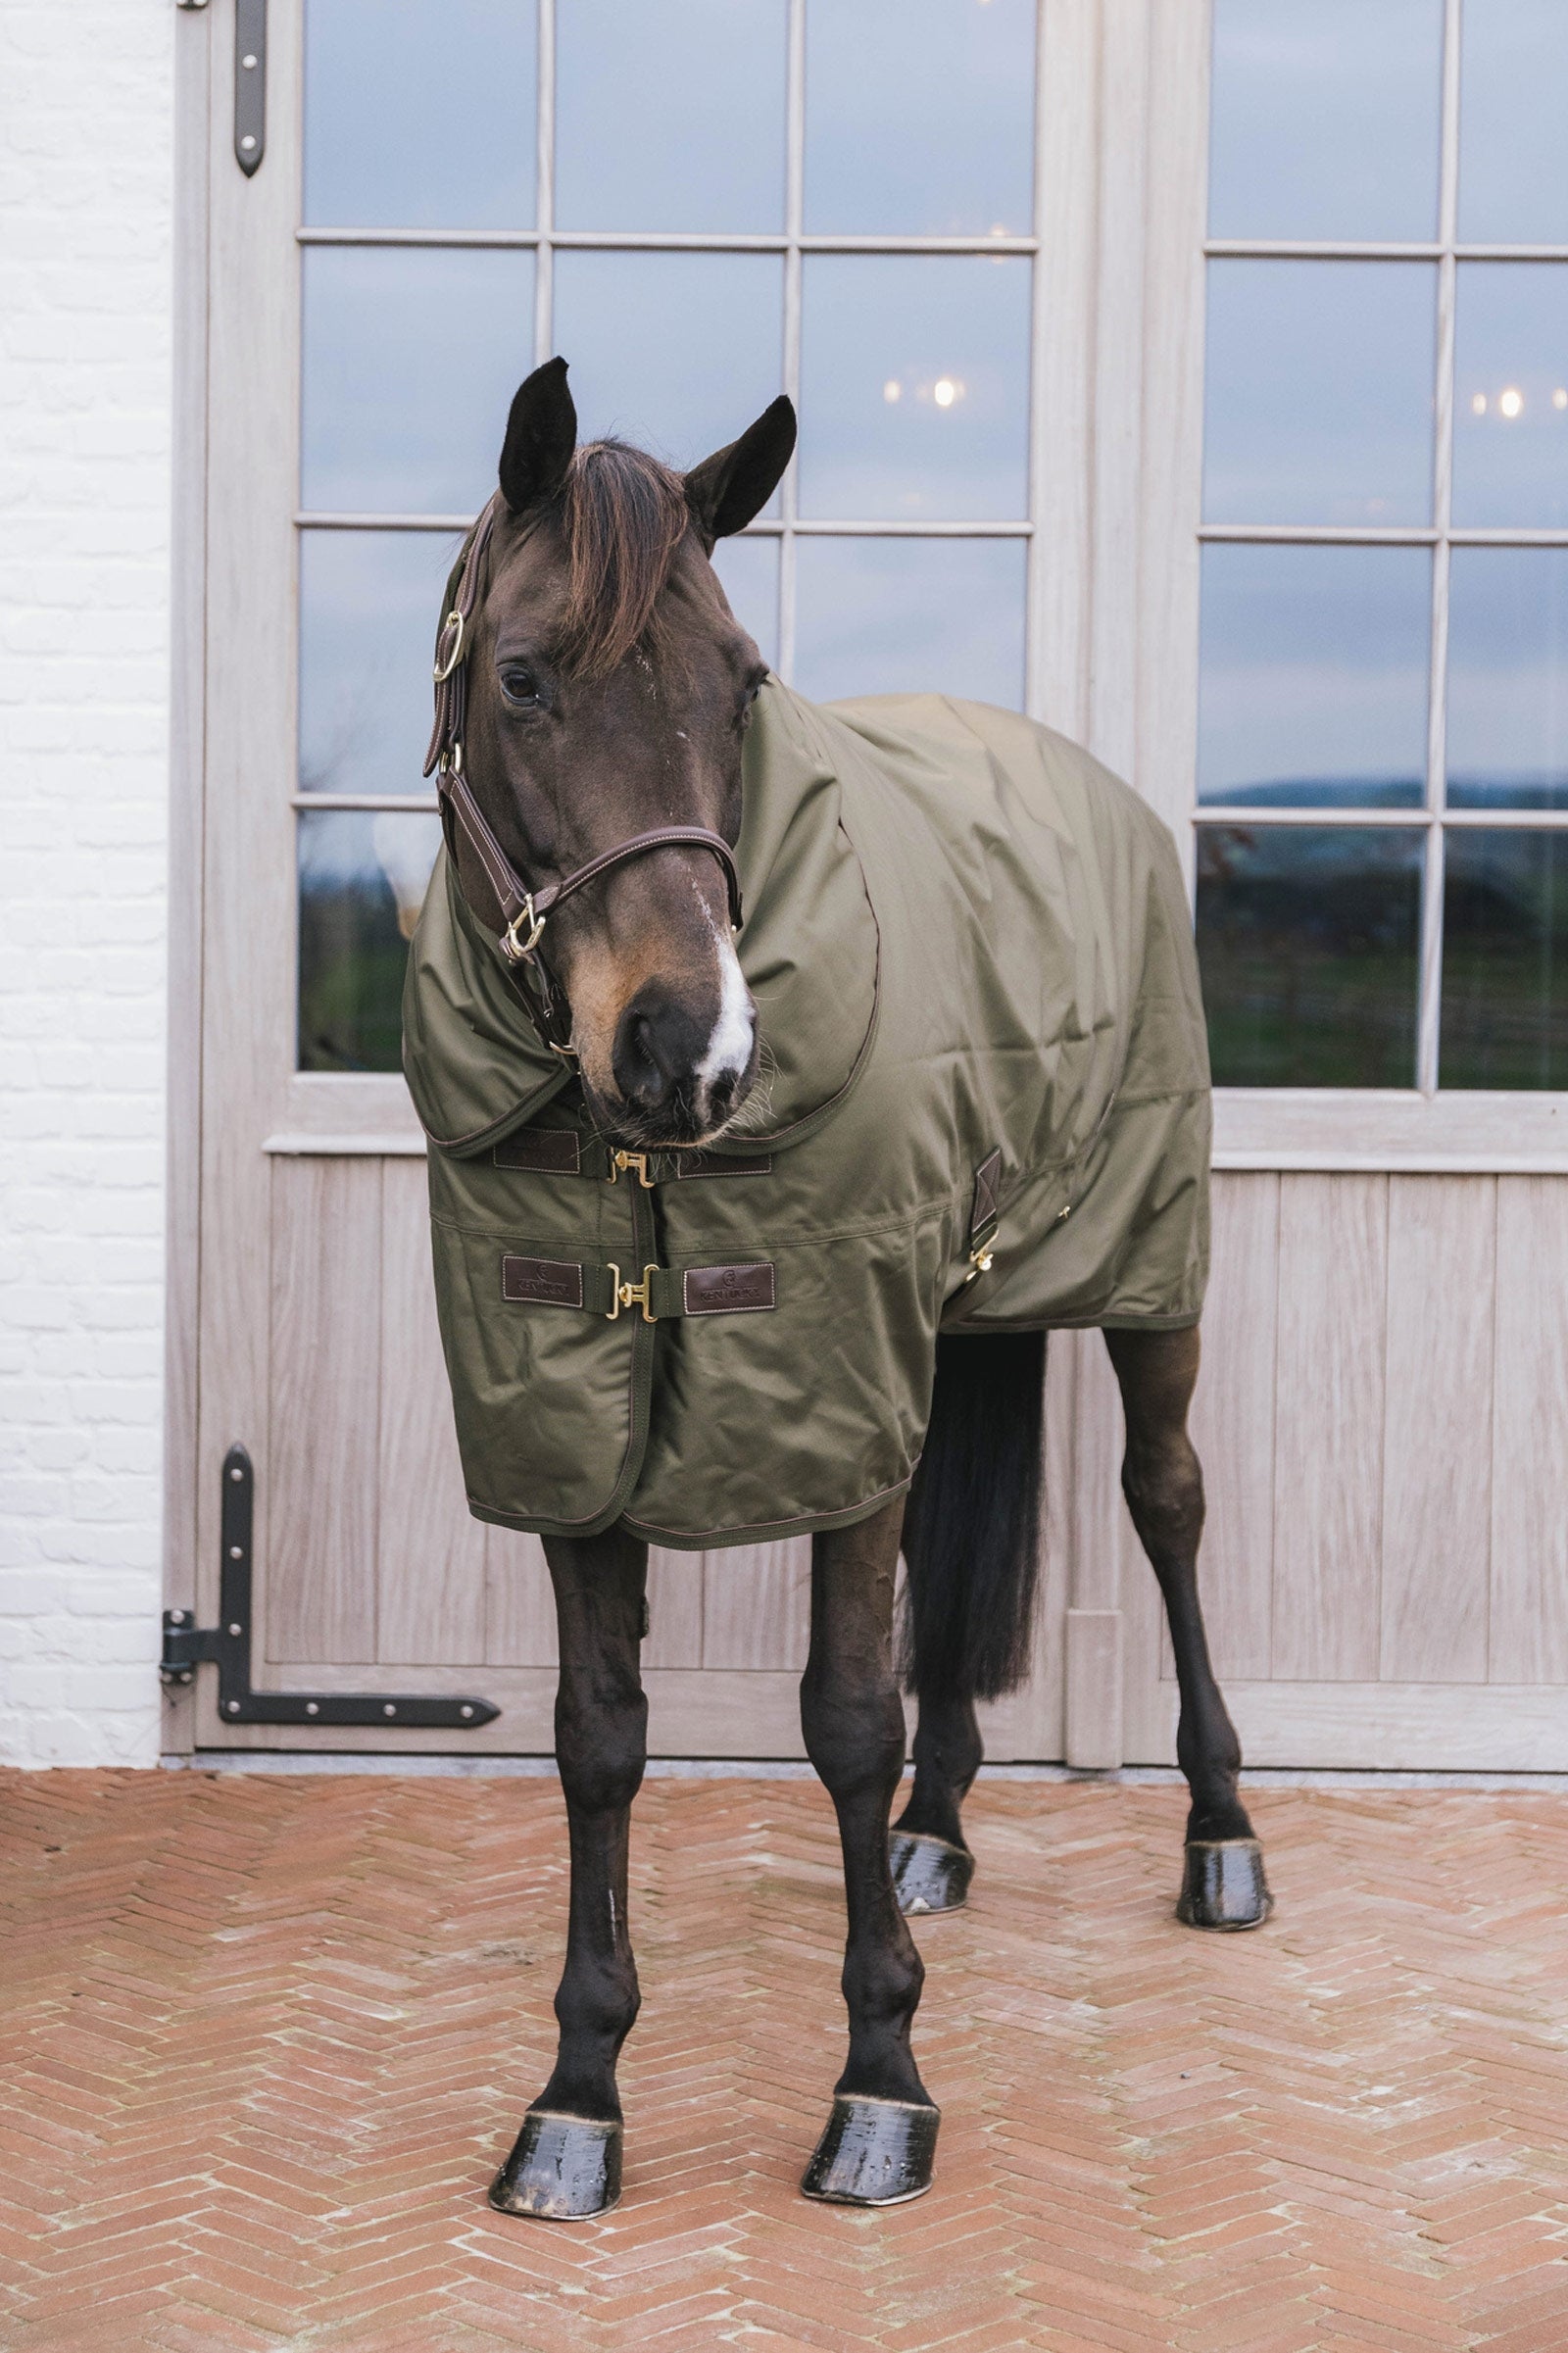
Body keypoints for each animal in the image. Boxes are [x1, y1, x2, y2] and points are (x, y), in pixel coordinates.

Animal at [405, 357, 1270, 2221]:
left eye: (742, 684)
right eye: (522, 674)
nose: (693, 1052)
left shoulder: (825, 1382)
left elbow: (845, 1718)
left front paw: (883, 2081)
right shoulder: (573, 1412)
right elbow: (599, 1734)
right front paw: (578, 2095)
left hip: (1147, 1266)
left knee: (1168, 1504)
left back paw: (1223, 1837)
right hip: (951, 1311)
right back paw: (941, 1833)